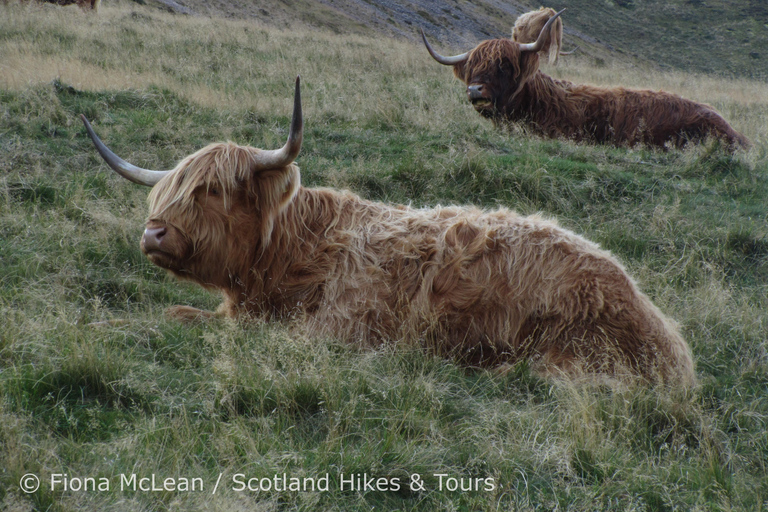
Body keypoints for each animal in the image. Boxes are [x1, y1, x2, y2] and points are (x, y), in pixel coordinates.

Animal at [81, 77, 695, 386]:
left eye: (209, 191)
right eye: (163, 193)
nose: (153, 235)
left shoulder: (340, 330)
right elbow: (176, 313)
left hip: (571, 350)